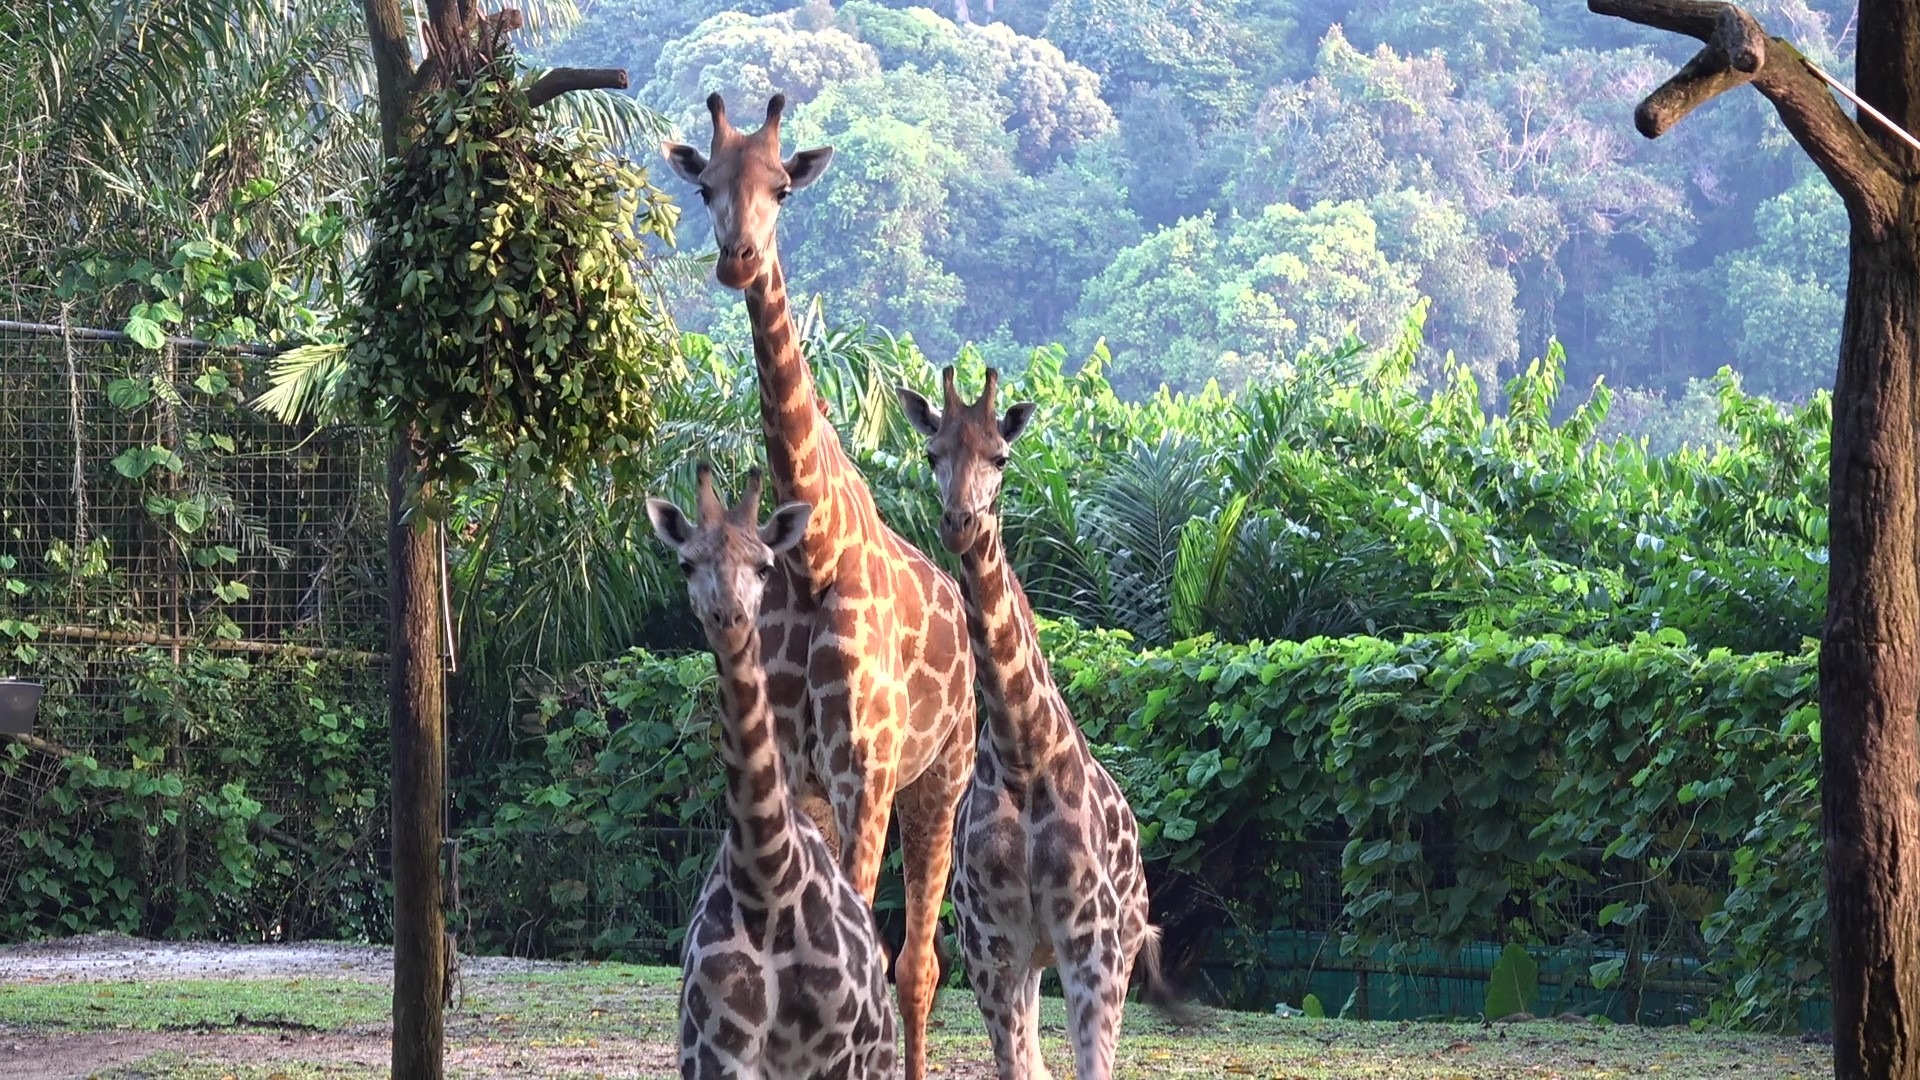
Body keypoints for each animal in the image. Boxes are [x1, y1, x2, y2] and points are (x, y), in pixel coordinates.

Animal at [648, 464, 897, 1079]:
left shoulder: (837, 1056)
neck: (766, 884)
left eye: (763, 565)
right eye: (686, 562)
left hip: (875, 1055)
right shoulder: (714, 1052)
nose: (729, 617)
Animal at [898, 367, 1177, 1080]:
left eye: (1001, 456)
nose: (960, 521)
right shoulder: (993, 948)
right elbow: (1016, 1066)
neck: (1023, 751)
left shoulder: (1091, 947)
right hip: (1026, 964)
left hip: (1116, 944)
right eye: (932, 453)